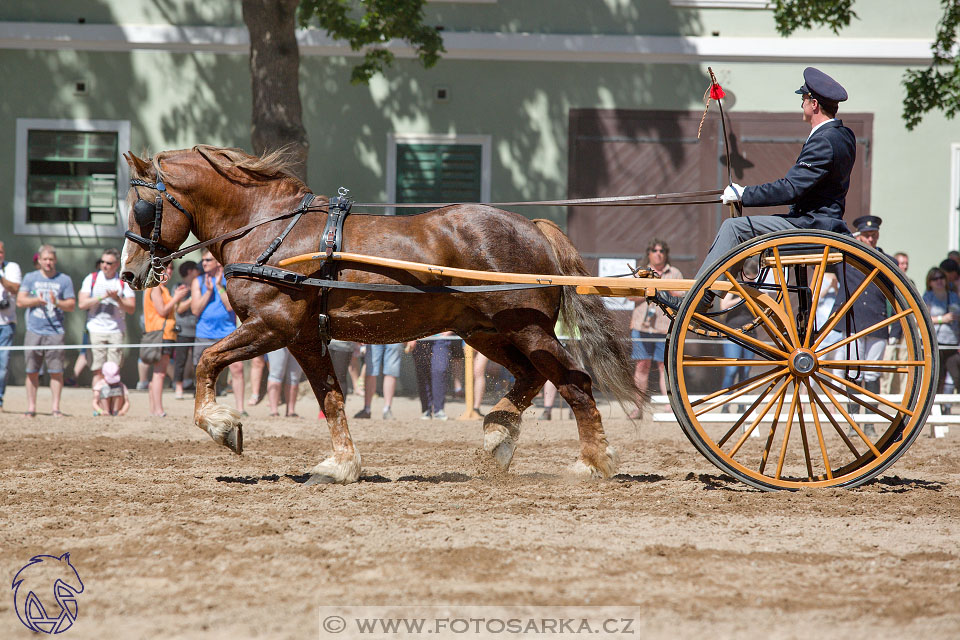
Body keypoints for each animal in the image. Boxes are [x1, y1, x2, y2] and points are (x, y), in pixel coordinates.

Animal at [120, 146, 640, 484]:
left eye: (142, 208)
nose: (129, 272)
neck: (270, 230)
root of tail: (532, 227)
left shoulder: (272, 326)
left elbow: (206, 360)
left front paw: (222, 426)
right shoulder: (303, 338)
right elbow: (331, 397)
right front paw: (342, 465)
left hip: (527, 328)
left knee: (574, 381)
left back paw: (592, 462)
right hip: (485, 332)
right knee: (532, 378)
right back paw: (499, 435)